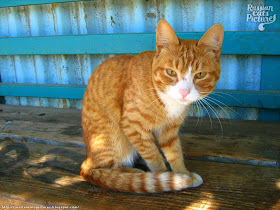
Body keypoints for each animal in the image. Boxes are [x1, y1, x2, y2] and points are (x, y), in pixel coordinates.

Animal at [80, 20, 223, 194]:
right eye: (171, 72)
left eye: (200, 75)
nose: (184, 92)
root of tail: (87, 157)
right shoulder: (133, 126)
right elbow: (153, 156)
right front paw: (167, 177)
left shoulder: (169, 131)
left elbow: (175, 153)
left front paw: (183, 173)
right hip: (114, 139)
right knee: (104, 169)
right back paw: (133, 173)